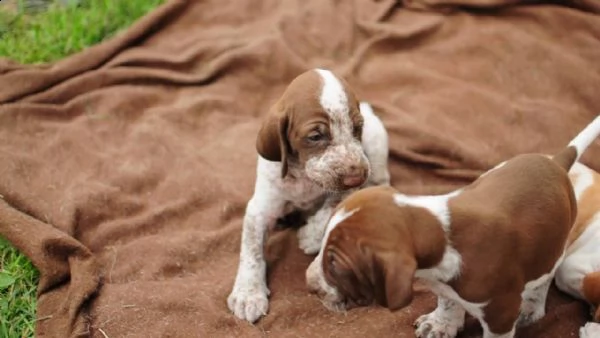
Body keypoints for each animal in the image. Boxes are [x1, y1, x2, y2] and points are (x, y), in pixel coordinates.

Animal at [227, 68, 392, 322]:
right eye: (315, 136)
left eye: (356, 129)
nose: (357, 178)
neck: (304, 177)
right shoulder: (260, 209)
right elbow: (251, 251)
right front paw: (248, 293)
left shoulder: (346, 190)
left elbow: (327, 211)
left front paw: (310, 238)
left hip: (375, 145)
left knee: (381, 179)